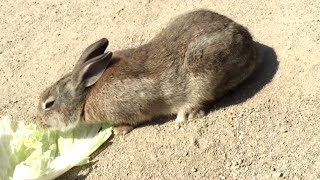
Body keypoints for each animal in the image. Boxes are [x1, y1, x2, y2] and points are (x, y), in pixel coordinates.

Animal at [37, 9, 258, 134]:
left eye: (49, 104)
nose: (39, 123)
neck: (85, 95)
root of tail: (249, 44)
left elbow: (132, 120)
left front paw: (119, 131)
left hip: (205, 67)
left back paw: (187, 113)